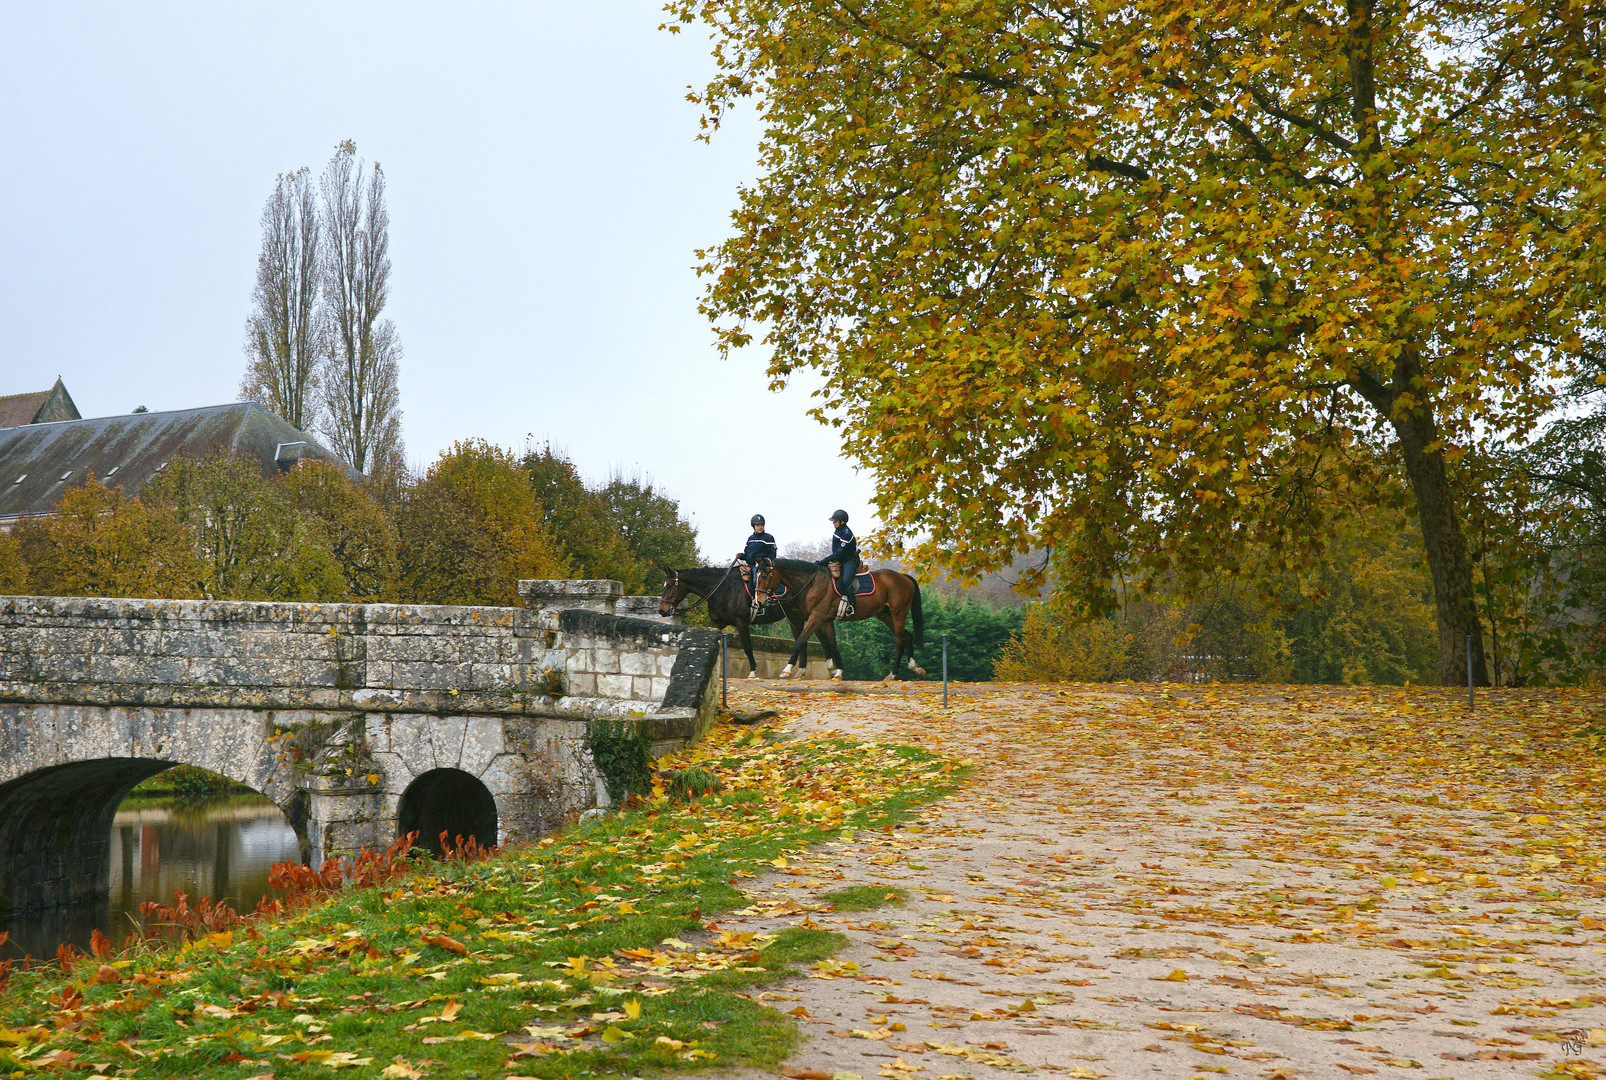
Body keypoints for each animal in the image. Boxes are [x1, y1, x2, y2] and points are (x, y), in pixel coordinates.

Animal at [658, 565, 822, 675]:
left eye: (670, 585)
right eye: (664, 585)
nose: (661, 610)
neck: (722, 589)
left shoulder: (741, 622)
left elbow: (747, 647)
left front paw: (753, 671)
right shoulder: (716, 622)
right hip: (794, 618)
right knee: (802, 639)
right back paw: (801, 671)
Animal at [754, 562, 931, 678]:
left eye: (764, 575)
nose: (759, 602)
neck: (813, 583)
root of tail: (903, 577)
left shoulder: (816, 617)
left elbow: (801, 640)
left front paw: (787, 670)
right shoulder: (824, 620)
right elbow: (832, 643)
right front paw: (837, 671)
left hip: (898, 614)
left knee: (900, 640)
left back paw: (893, 674)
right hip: (885, 615)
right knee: (907, 636)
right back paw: (915, 668)